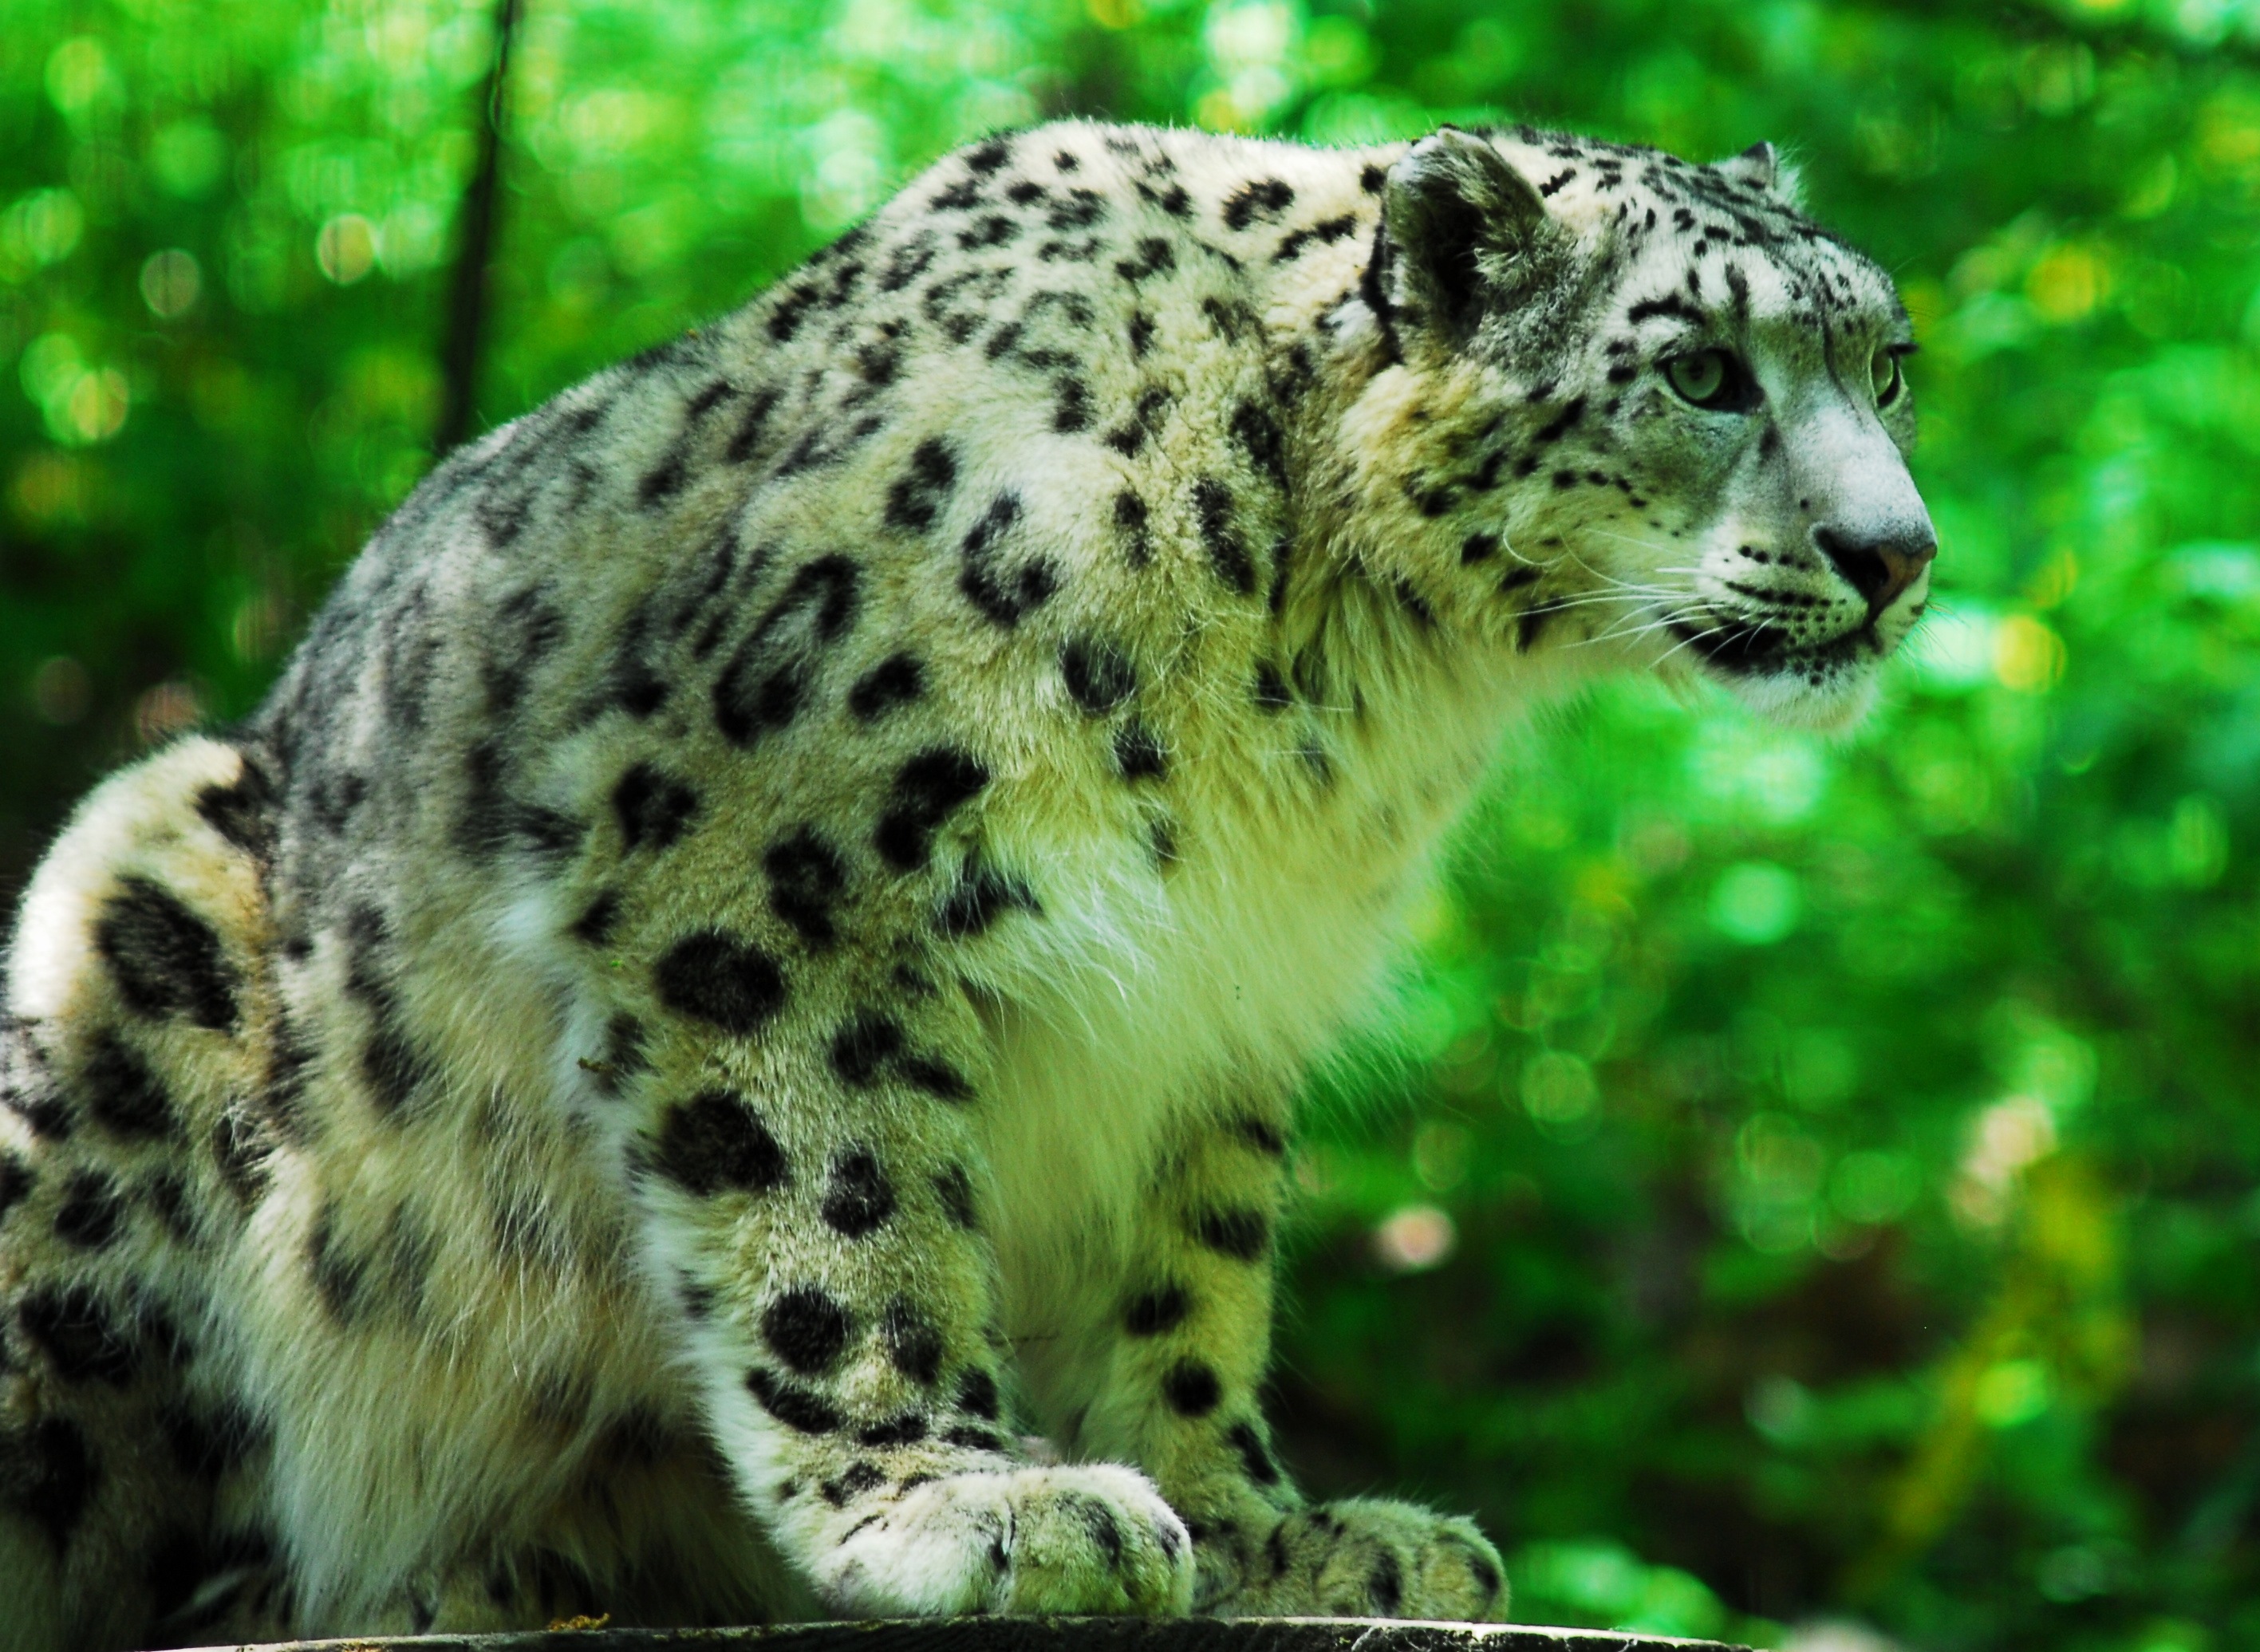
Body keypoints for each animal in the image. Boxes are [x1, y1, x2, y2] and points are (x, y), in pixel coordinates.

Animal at [0, 118, 1932, 1649]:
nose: (1896, 552)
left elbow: (1186, 1282)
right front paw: (956, 1498)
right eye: (1702, 370)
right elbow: (842, 1191)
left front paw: (1255, 1526)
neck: (1334, 698)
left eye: (1885, 365)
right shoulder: (767, 868)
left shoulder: (1211, 1008)